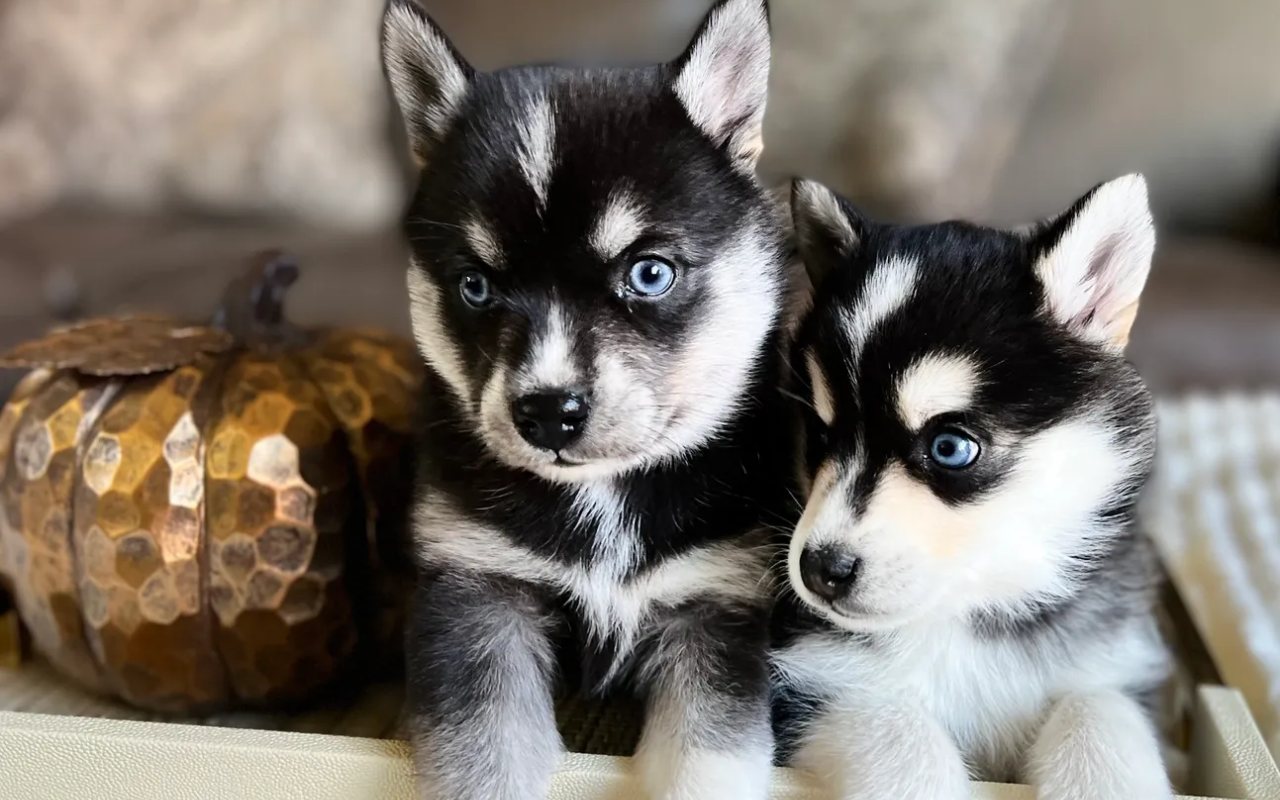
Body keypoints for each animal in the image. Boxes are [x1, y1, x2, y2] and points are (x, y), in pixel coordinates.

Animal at [378, 1, 793, 798]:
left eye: (650, 272)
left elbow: (704, 762)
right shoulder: (477, 596)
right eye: (475, 286)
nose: (547, 414)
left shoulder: (716, 609)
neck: (601, 497)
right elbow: (487, 760)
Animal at [773, 174, 1172, 798]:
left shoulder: (1115, 666)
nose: (821, 570)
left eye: (950, 448)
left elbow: (1100, 706)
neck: (972, 611)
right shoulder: (812, 682)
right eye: (819, 434)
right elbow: (892, 724)